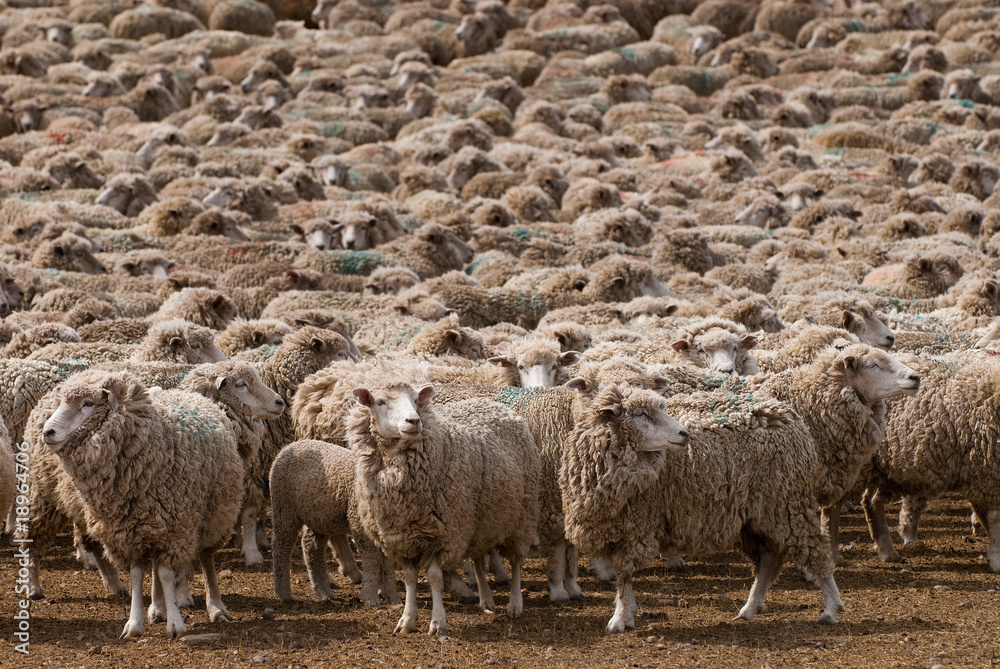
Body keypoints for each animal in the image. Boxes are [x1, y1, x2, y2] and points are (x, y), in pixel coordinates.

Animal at [37, 369, 242, 638]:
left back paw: (216, 608)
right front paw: (135, 624)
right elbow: (137, 575)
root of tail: (186, 393)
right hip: (153, 526)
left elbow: (166, 574)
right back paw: (157, 608)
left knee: (207, 559)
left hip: (216, 514)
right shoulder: (128, 530)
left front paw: (176, 624)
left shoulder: (173, 528)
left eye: (88, 404)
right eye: (61, 402)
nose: (47, 432)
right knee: (154, 566)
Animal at [351, 371, 540, 633]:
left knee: (516, 562)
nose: (414, 421)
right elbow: (410, 578)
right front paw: (407, 620)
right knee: (478, 560)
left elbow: (434, 577)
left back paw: (515, 605)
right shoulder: (404, 538)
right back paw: (486, 599)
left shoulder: (443, 536)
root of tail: (493, 404)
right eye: (380, 402)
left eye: (416, 400)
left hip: (521, 518)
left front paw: (438, 622)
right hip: (480, 522)